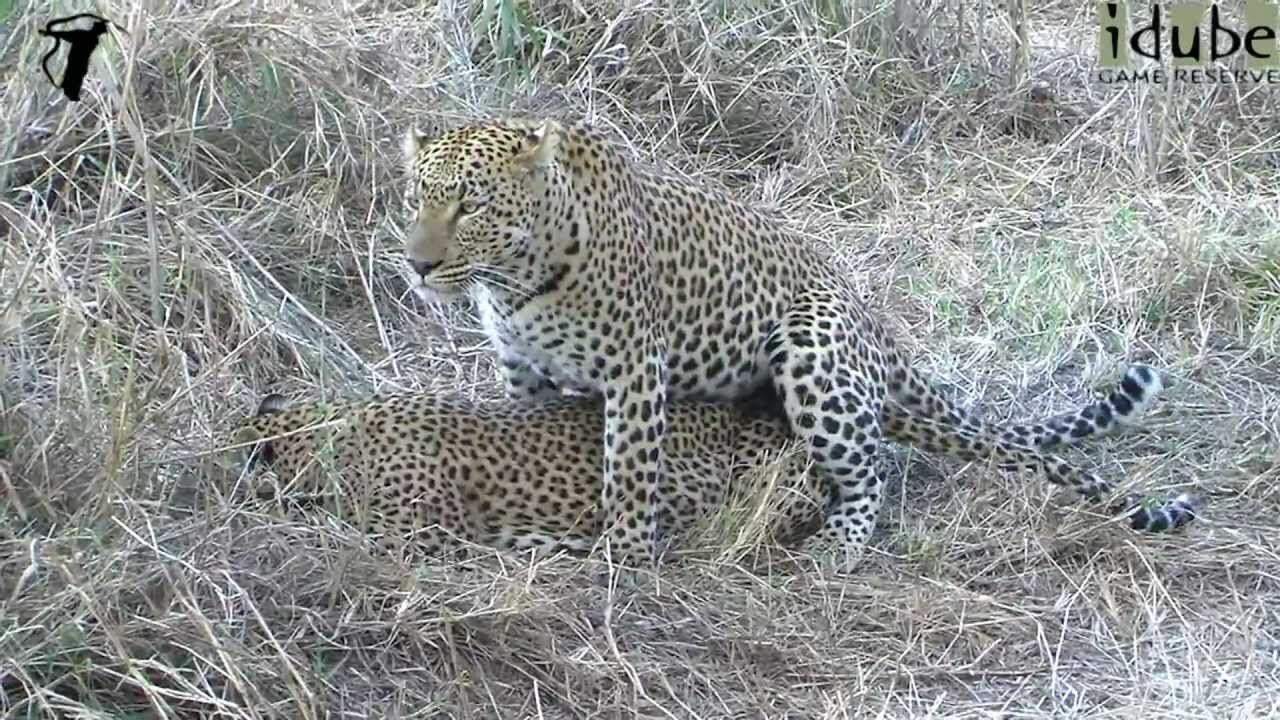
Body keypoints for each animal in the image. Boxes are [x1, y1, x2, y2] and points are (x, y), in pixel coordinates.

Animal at [396, 114, 1198, 568]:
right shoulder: (521, 368)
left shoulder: (635, 370)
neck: (517, 280)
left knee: (869, 472)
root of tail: (874, 328)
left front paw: (622, 556)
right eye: (416, 198)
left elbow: (629, 471)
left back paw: (837, 549)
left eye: (471, 204)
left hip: (811, 352)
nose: (418, 263)